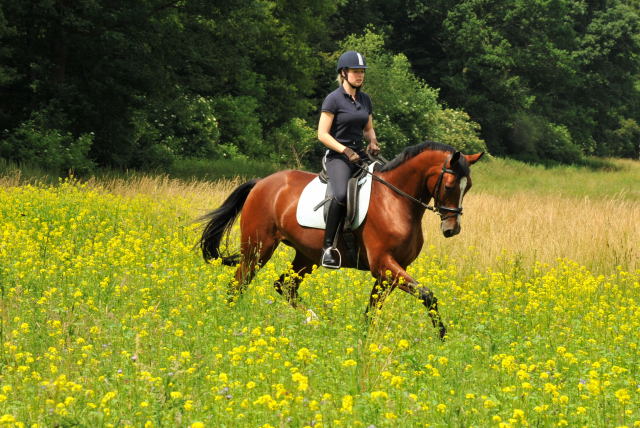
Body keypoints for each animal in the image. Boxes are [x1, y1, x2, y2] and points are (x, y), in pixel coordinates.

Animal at [198, 142, 482, 340]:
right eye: (449, 186)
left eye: (468, 187)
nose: (452, 229)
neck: (395, 200)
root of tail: (261, 183)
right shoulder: (385, 265)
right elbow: (428, 295)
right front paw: (442, 338)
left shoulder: (390, 271)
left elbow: (373, 309)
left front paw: (364, 339)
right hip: (258, 249)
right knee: (239, 282)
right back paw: (230, 321)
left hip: (306, 255)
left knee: (285, 285)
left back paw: (316, 320)